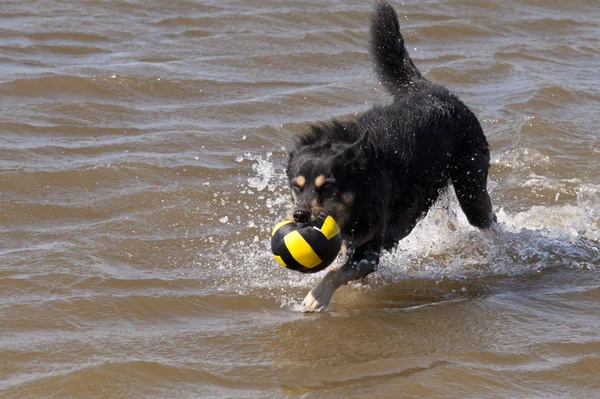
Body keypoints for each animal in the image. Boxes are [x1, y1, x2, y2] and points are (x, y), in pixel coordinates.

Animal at [288, 0, 494, 312]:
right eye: (296, 187)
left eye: (328, 187)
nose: (299, 215)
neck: (362, 184)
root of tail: (430, 89)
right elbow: (344, 268)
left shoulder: (371, 245)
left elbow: (336, 272)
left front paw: (315, 297)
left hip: (471, 187)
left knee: (486, 216)